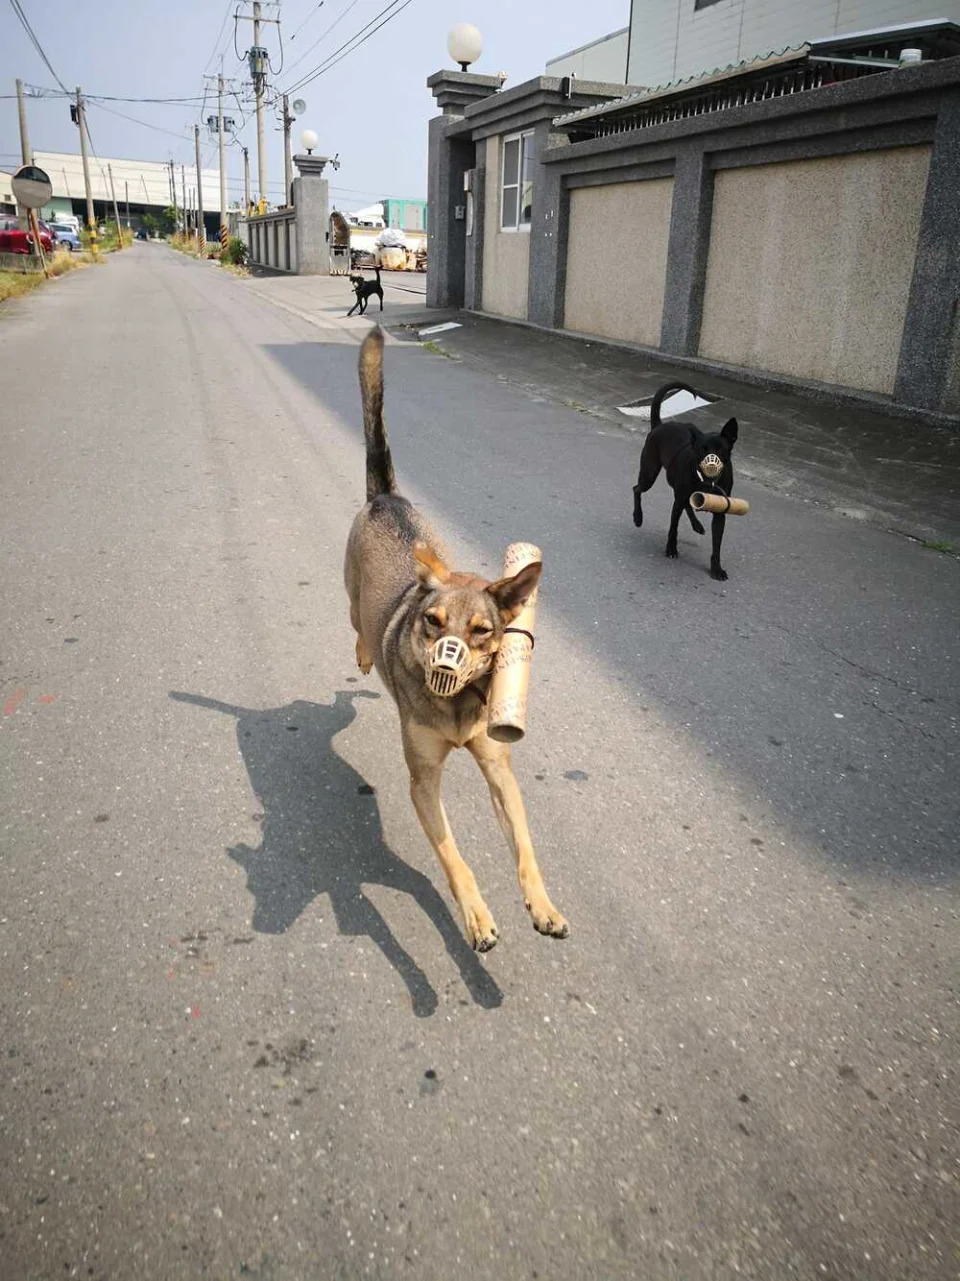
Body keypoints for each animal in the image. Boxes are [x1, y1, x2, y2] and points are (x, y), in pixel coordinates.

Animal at [343, 330, 569, 953]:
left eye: (483, 631)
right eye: (431, 622)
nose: (445, 667)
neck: (460, 705)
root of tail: (386, 499)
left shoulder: (499, 770)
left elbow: (525, 846)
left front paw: (542, 906)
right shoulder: (423, 783)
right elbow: (453, 858)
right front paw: (476, 917)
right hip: (349, 591)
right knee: (355, 621)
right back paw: (364, 652)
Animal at [633, 379, 738, 581]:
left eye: (721, 450)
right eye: (702, 449)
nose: (711, 464)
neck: (706, 482)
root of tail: (659, 426)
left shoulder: (720, 513)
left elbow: (717, 545)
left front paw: (716, 569)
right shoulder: (678, 501)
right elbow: (673, 528)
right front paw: (671, 549)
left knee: (688, 504)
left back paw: (696, 525)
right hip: (649, 473)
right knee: (636, 489)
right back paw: (638, 517)